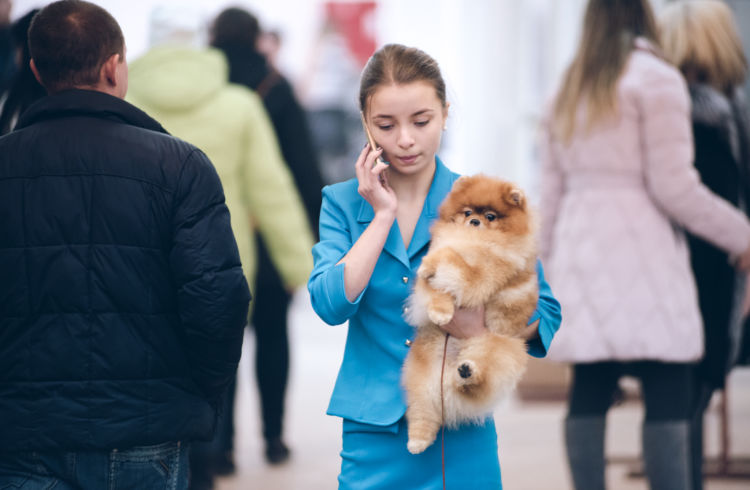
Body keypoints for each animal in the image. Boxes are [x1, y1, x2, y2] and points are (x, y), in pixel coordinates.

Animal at [406, 174, 540, 454]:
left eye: (490, 216)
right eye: (467, 212)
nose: (475, 222)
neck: (471, 239)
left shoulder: (480, 274)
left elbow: (451, 259)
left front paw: (431, 266)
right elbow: (437, 288)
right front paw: (439, 310)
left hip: (497, 345)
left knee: (480, 380)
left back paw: (468, 373)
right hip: (422, 377)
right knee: (423, 409)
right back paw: (418, 440)